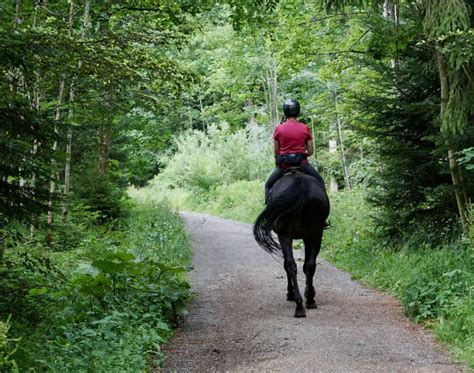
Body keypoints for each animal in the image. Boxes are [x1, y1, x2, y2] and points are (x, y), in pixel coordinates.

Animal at [252, 169, 330, 316]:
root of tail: (299, 181)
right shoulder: (309, 236)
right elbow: (306, 265)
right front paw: (307, 292)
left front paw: (291, 293)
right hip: (315, 234)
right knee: (307, 265)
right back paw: (307, 301)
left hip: (286, 235)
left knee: (290, 265)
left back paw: (298, 302)